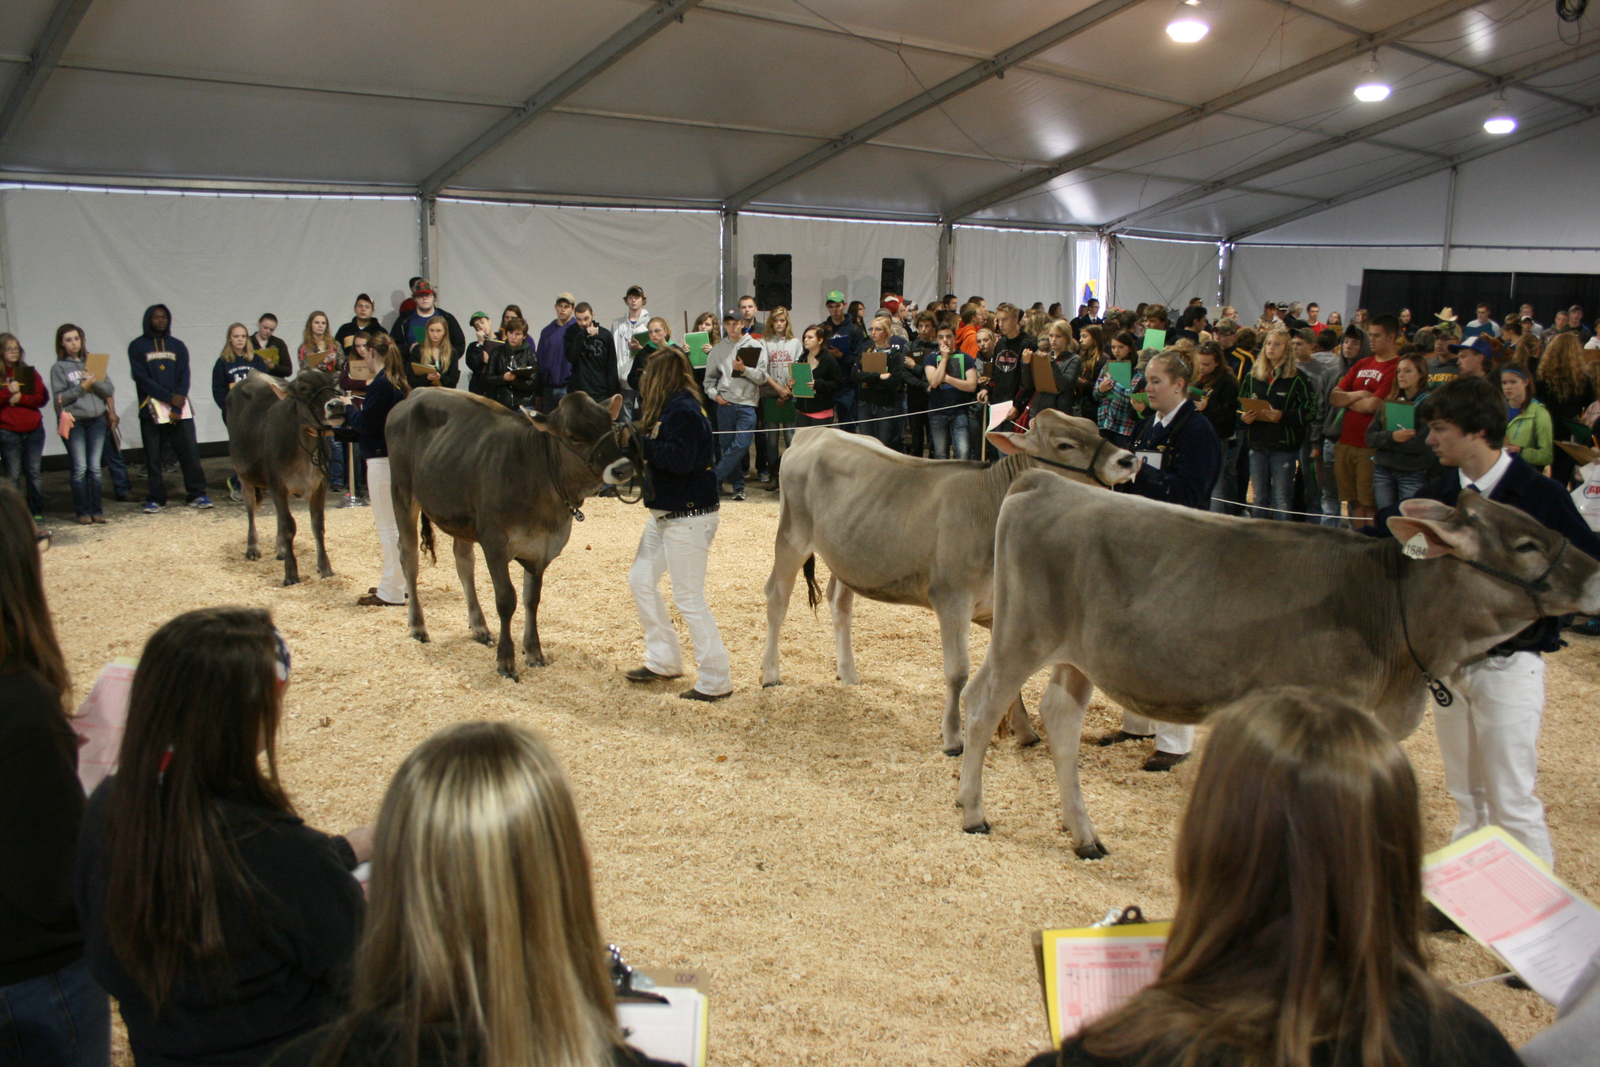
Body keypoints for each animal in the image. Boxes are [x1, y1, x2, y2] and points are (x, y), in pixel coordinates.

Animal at [385, 388, 630, 681]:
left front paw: (534, 653)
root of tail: (416, 392)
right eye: (574, 436)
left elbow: (531, 600)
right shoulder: (494, 542)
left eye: (610, 427)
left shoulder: (541, 549)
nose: (623, 467)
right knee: (408, 558)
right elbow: (506, 599)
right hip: (402, 491)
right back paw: (418, 627)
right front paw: (506, 661)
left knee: (463, 562)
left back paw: (479, 627)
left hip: (460, 515)